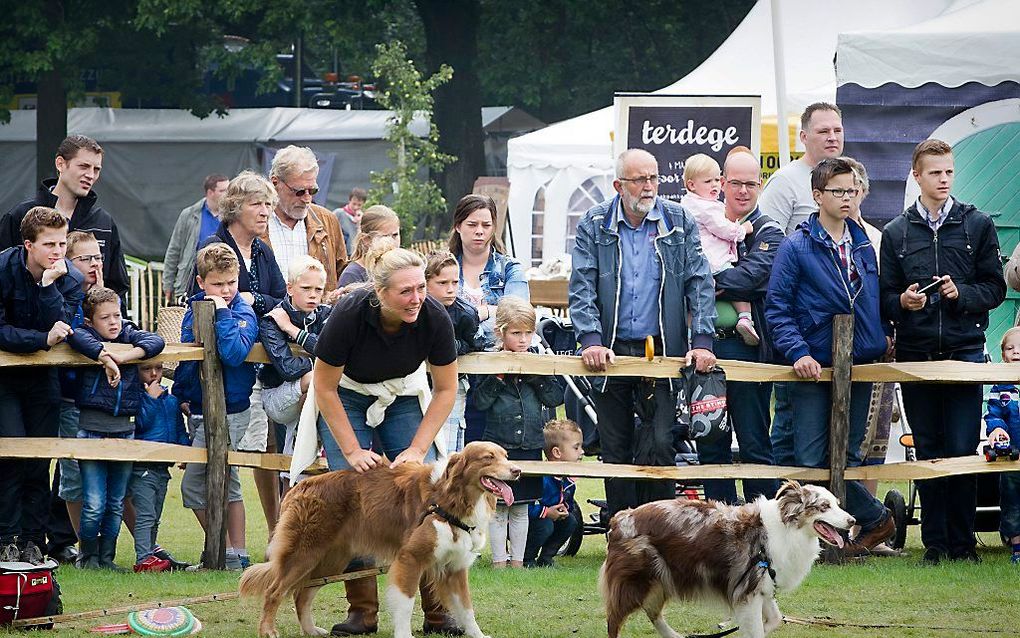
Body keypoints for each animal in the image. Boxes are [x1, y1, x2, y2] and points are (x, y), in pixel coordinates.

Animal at [239, 440, 522, 636]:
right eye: (488, 458)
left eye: (506, 456)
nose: (518, 470)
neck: (450, 498)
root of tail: (300, 486)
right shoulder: (410, 559)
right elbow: (405, 604)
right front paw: (404, 635)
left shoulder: (455, 567)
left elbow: (467, 609)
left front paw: (478, 635)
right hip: (304, 553)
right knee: (275, 591)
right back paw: (268, 630)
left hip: (330, 560)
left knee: (301, 594)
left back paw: (310, 630)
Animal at [599, 481, 856, 636]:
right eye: (824, 506)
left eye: (837, 504)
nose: (852, 520)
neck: (785, 530)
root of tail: (619, 517)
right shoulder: (748, 591)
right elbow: (758, 629)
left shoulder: (762, 585)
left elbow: (775, 619)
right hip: (636, 582)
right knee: (613, 620)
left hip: (662, 580)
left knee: (653, 613)